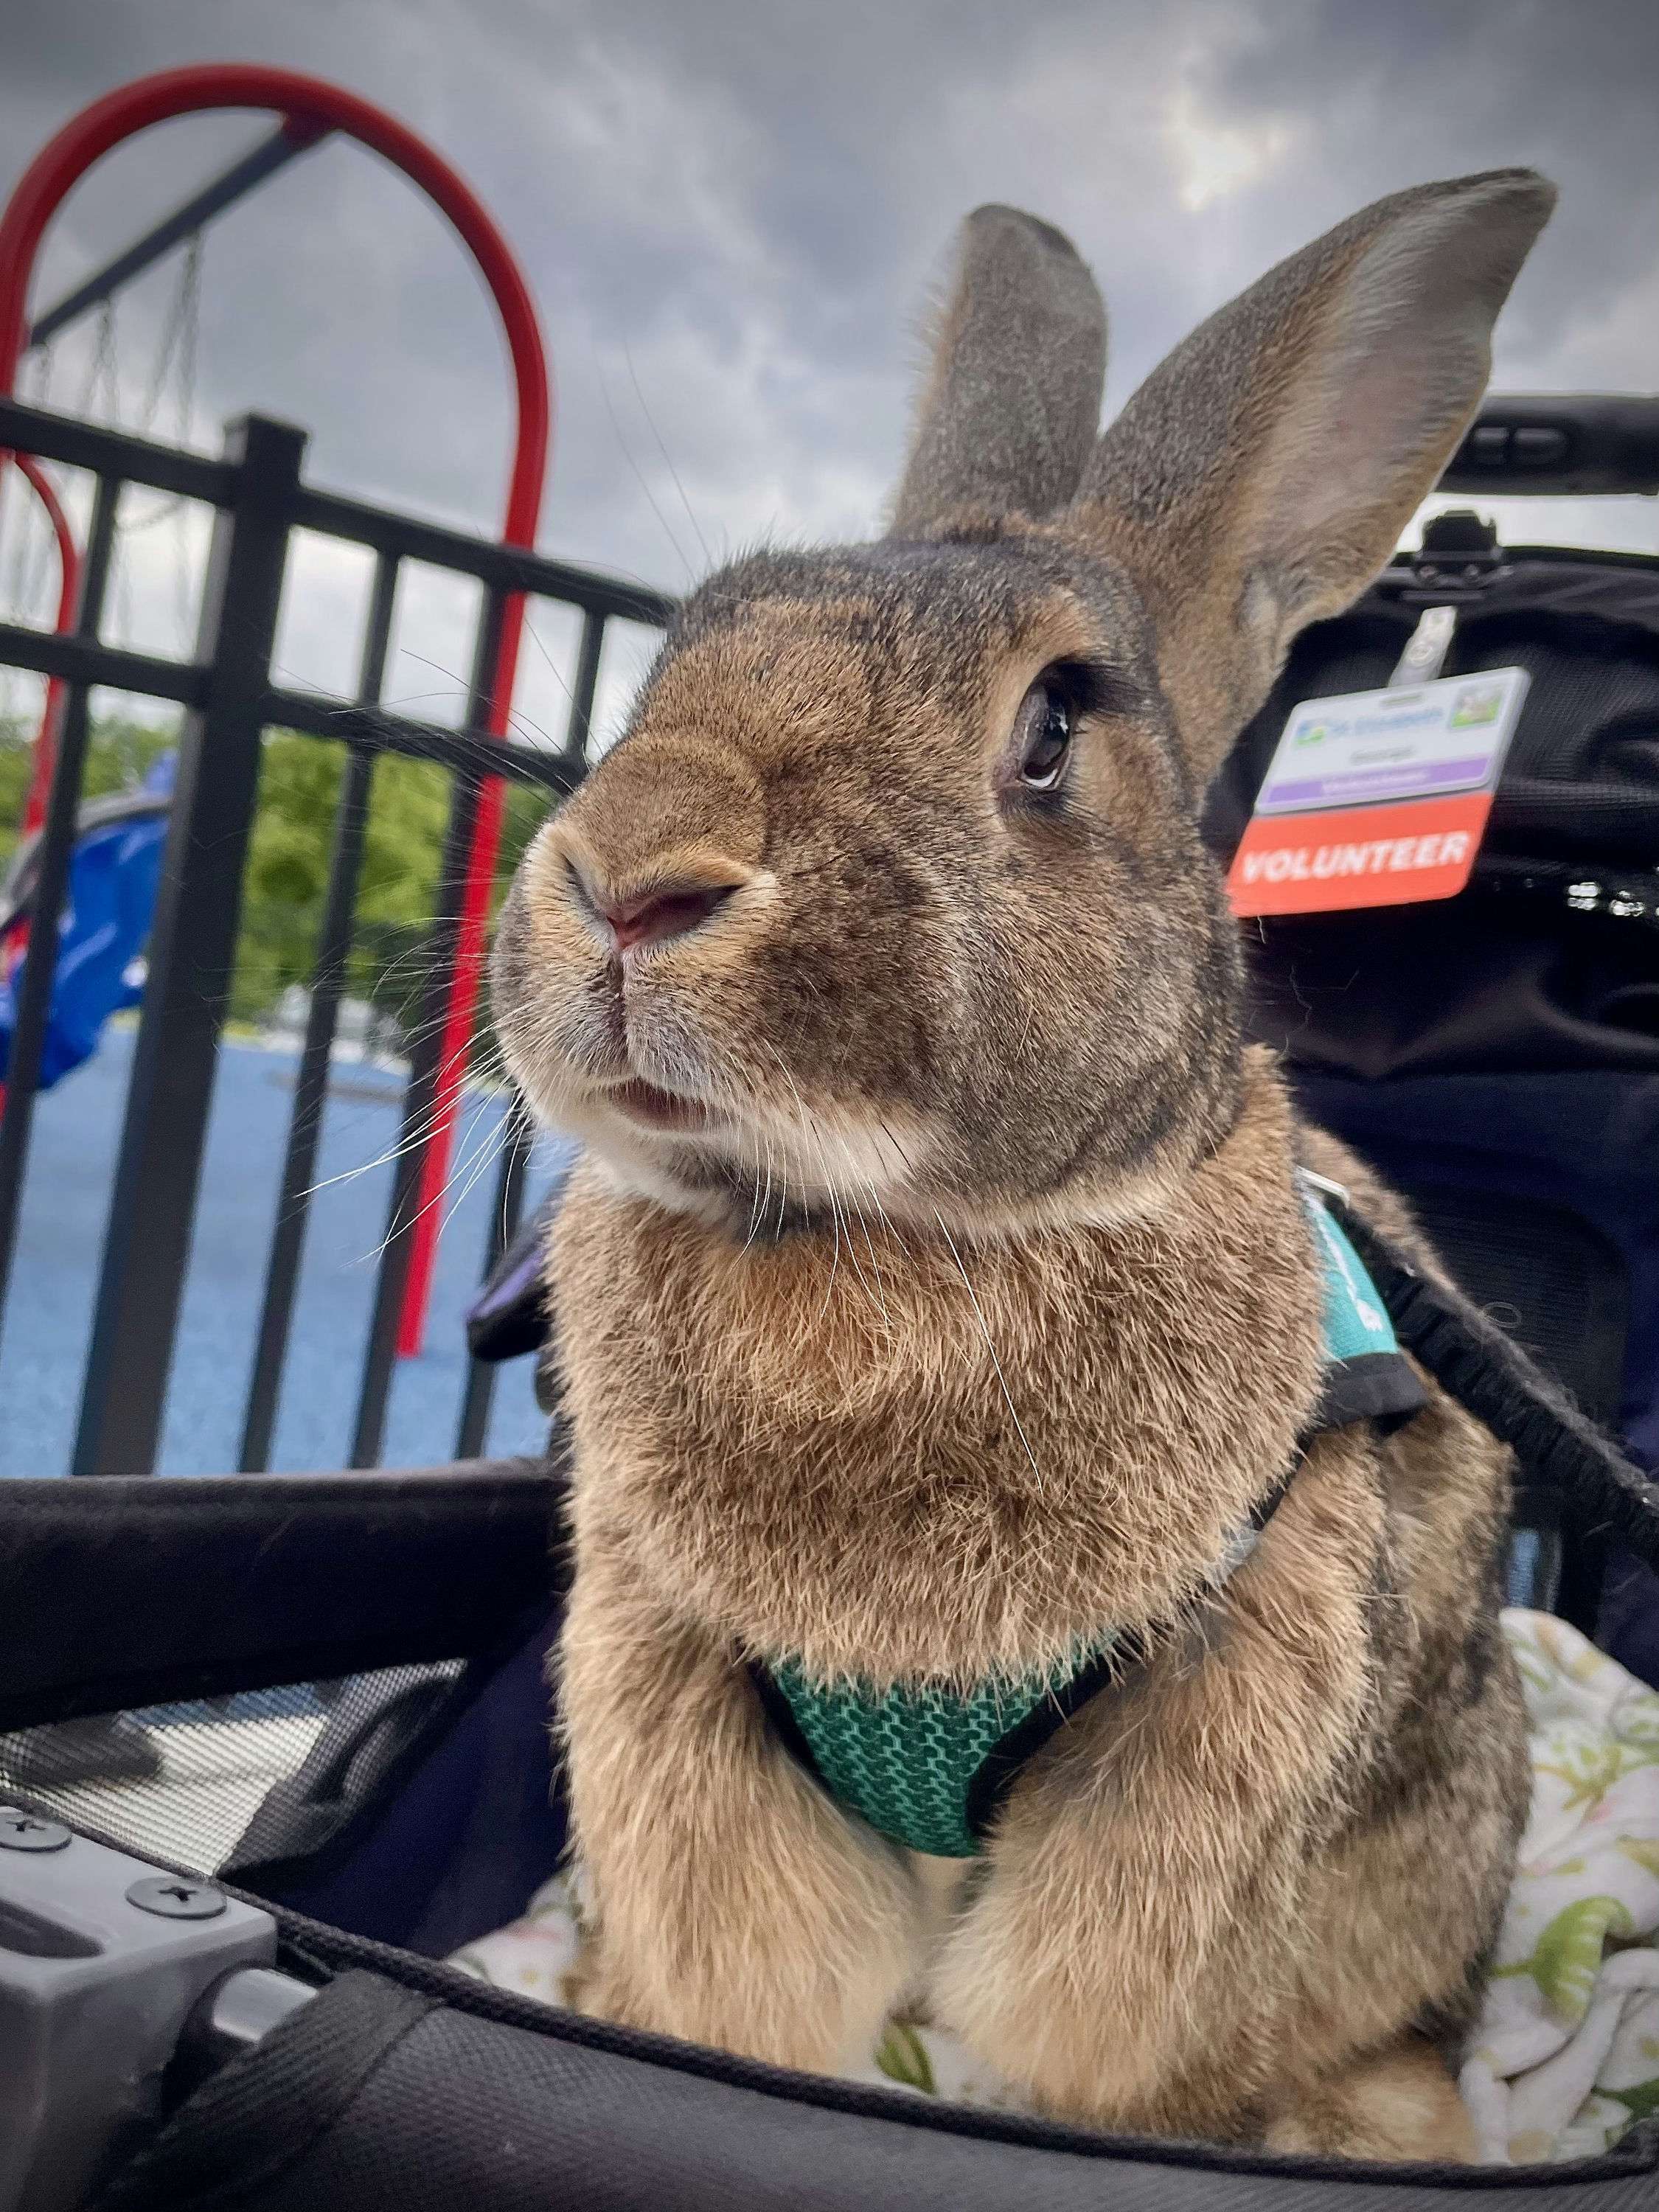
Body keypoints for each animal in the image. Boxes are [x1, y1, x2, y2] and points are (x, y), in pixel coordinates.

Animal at [490, 169, 1555, 2160]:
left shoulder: (1203, 1765)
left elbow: (1118, 2039)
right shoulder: (674, 1692)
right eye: (679, 652)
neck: (874, 1232)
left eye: (1052, 725)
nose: (631, 874)